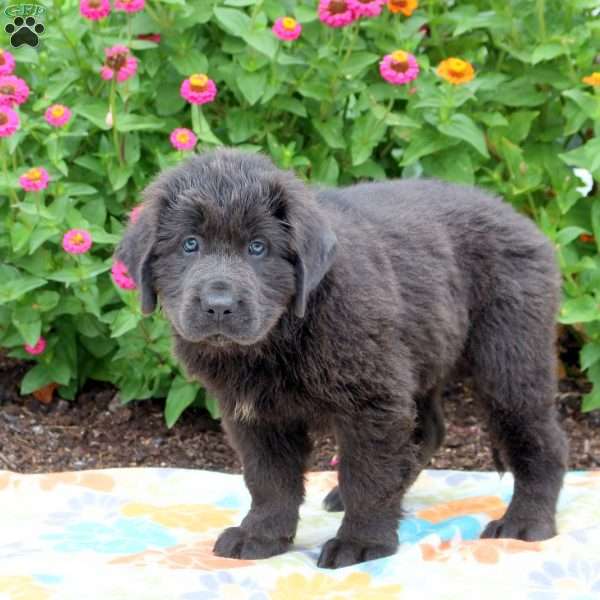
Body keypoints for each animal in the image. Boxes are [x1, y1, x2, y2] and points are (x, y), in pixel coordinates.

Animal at [116, 149, 568, 568]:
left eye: (258, 248)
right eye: (189, 244)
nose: (218, 306)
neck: (284, 335)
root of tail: (525, 222)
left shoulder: (372, 401)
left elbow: (368, 475)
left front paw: (361, 543)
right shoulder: (255, 414)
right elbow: (268, 480)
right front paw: (261, 536)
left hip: (508, 356)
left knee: (540, 439)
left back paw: (526, 522)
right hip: (418, 353)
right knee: (429, 430)